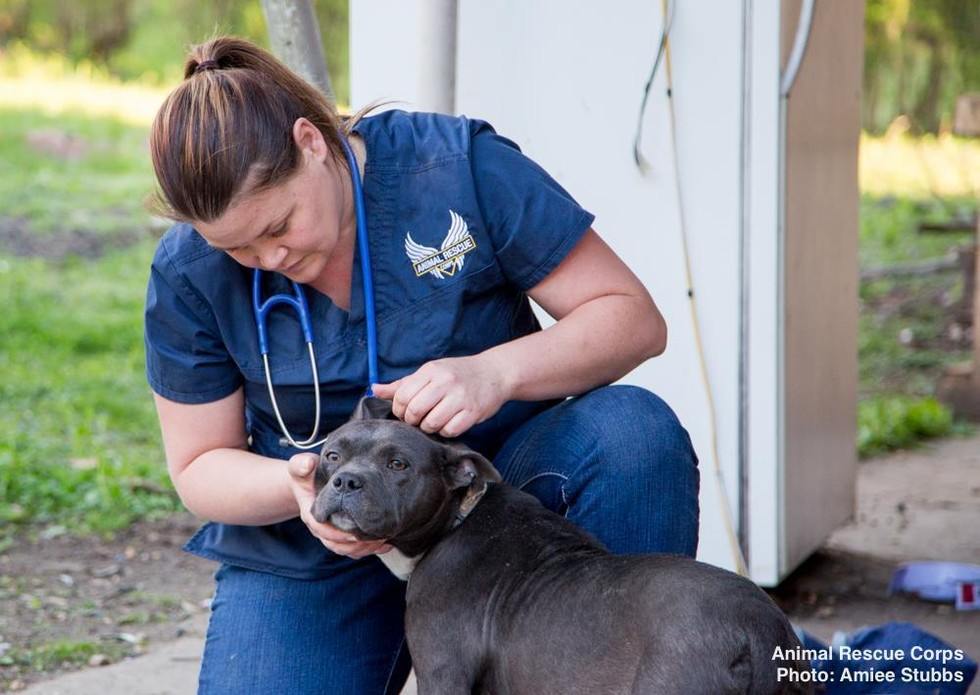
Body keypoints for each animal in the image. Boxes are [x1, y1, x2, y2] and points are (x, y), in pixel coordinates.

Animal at [312, 400, 812, 692]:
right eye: (331, 456)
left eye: (398, 465)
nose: (346, 481)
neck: (456, 517)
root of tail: (758, 632)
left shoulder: (441, 673)